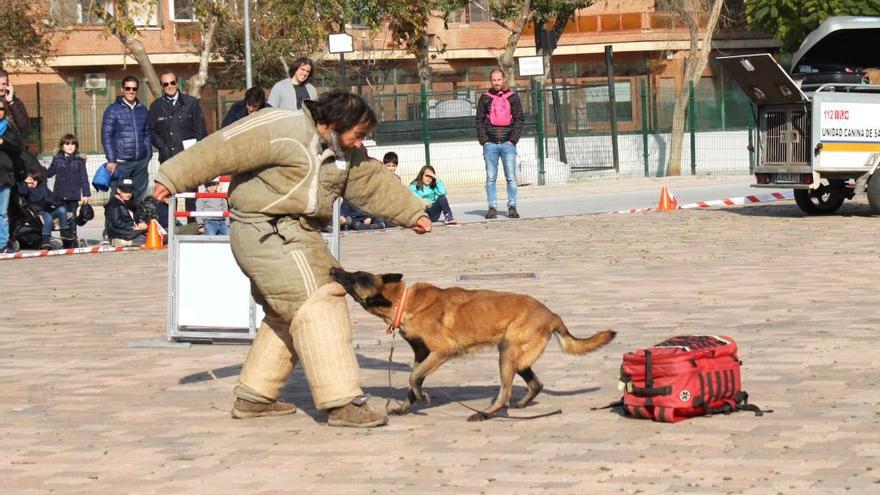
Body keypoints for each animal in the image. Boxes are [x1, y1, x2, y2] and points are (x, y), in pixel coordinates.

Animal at [326, 268, 616, 422]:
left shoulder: (441, 352)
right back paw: (520, 406)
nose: (333, 270)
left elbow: (412, 378)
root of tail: (553, 314)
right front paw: (407, 405)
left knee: (505, 394)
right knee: (535, 384)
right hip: (514, 355)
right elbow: (413, 380)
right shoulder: (423, 354)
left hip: (507, 355)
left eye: (354, 277)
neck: (404, 301)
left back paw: (487, 413)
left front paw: (421, 398)